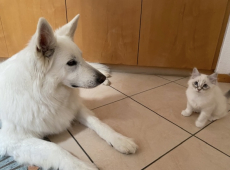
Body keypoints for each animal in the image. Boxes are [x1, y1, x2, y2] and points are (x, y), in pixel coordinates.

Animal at [0, 14, 137, 170]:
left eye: (81, 57)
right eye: (71, 63)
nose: (101, 78)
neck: (45, 96)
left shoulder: (75, 108)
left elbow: (99, 123)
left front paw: (120, 139)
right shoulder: (12, 140)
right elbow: (55, 149)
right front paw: (84, 167)